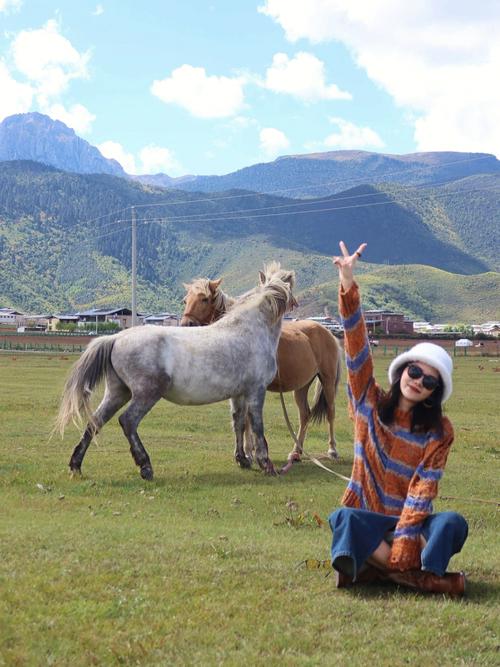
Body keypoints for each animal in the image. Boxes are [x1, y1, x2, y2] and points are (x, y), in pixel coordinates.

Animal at [57, 262, 296, 480]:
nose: (295, 303)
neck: (250, 329)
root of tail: (116, 337)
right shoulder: (256, 390)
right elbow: (257, 426)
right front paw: (266, 464)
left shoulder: (239, 394)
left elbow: (238, 422)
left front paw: (243, 459)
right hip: (146, 394)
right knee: (128, 421)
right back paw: (145, 466)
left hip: (118, 393)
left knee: (95, 421)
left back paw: (76, 465)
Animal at [181, 280, 344, 462]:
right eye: (185, 300)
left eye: (205, 299)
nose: (185, 324)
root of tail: (327, 332)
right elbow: (244, 419)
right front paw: (247, 451)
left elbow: (246, 419)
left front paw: (248, 452)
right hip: (301, 386)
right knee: (305, 415)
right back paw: (296, 452)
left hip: (327, 380)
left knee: (330, 412)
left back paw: (332, 450)